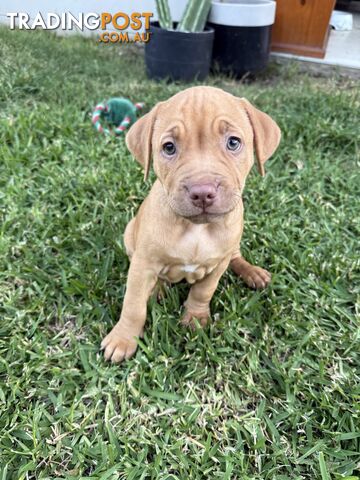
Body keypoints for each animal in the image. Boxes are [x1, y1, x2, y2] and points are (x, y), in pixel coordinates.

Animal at [101, 87, 282, 364]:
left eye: (233, 142)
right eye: (169, 147)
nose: (202, 192)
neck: (196, 230)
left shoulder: (218, 264)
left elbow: (203, 291)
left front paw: (195, 318)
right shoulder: (143, 264)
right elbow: (133, 305)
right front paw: (123, 339)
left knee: (236, 257)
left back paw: (252, 273)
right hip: (130, 234)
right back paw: (158, 289)